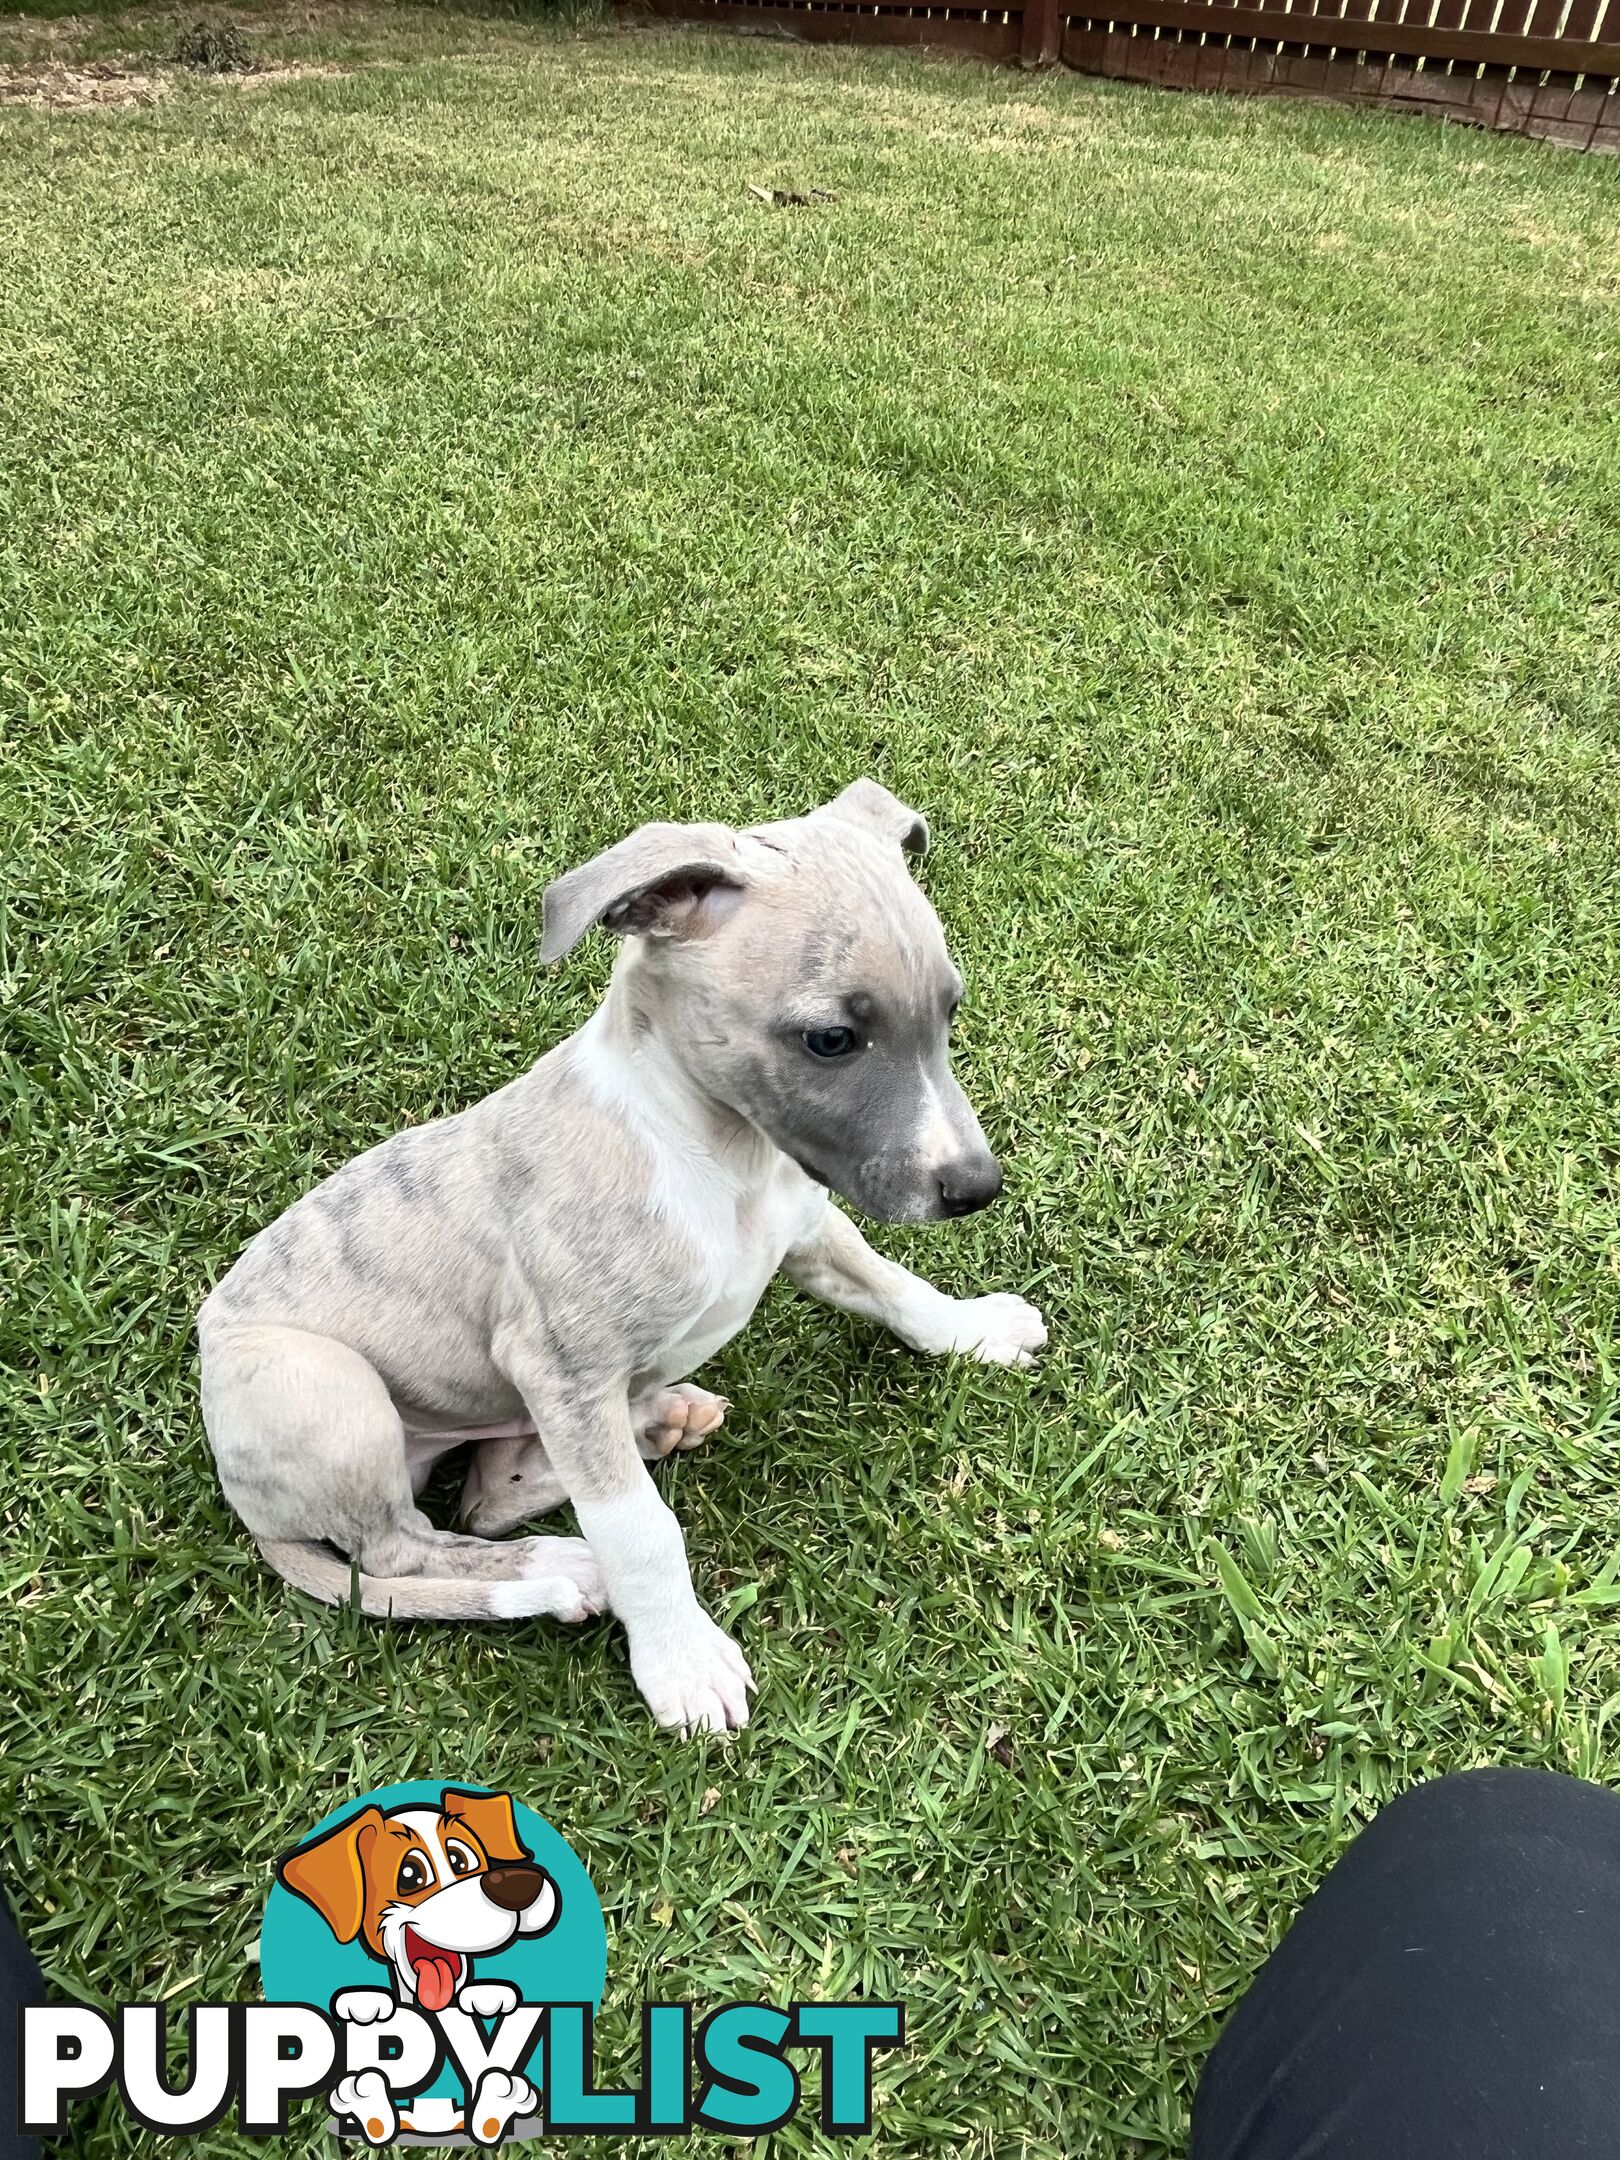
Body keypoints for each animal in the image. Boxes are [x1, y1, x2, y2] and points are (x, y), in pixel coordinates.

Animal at [196, 786, 1045, 1728]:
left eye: (950, 1011)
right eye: (830, 1039)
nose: (976, 1187)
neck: (717, 1156)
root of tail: (247, 1501)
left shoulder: (808, 1230)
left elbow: (892, 1284)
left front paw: (974, 1329)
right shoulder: (560, 1367)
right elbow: (639, 1529)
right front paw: (680, 1660)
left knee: (486, 1497)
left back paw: (648, 1426)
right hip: (325, 1386)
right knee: (404, 1548)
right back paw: (555, 1566)